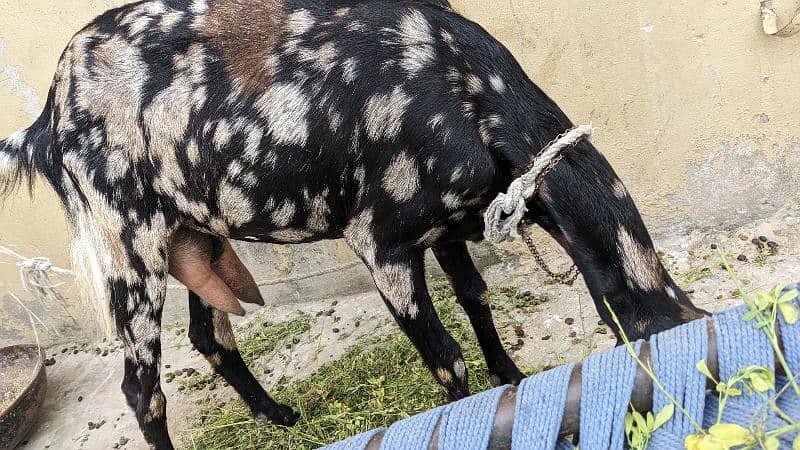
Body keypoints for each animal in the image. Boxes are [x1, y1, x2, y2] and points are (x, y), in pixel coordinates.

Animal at [0, 1, 704, 448]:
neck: (469, 92)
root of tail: (48, 117)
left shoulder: (447, 228)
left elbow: (477, 300)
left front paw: (512, 383)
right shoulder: (382, 241)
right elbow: (446, 358)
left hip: (193, 232)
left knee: (209, 335)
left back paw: (279, 415)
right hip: (129, 245)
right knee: (141, 388)